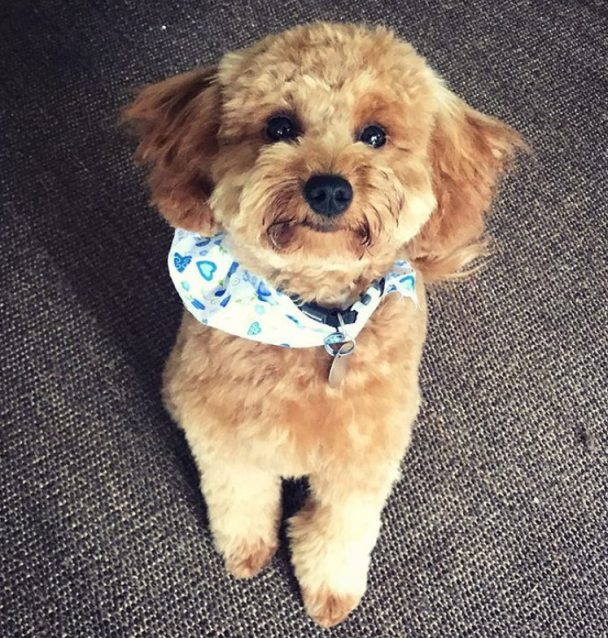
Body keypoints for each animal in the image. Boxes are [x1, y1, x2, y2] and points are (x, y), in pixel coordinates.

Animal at [123, 22, 524, 628]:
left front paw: (331, 591)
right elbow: (241, 497)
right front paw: (246, 549)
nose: (330, 188)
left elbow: (339, 531)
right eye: (280, 127)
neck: (315, 320)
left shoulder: (363, 462)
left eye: (375, 135)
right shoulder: (228, 442)